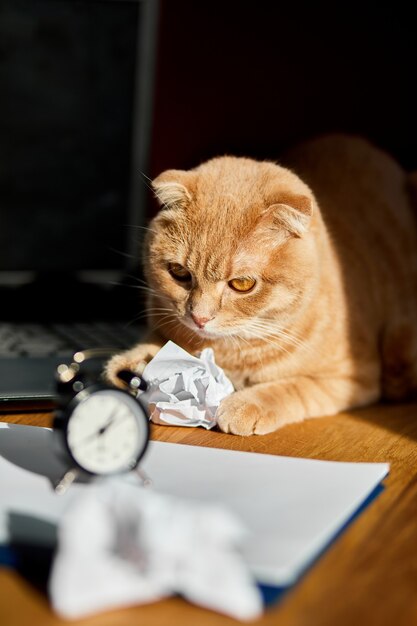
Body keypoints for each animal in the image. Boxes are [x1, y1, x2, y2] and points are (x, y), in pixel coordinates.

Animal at [105, 134, 416, 432]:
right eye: (179, 272)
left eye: (242, 284)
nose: (199, 318)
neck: (230, 351)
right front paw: (133, 365)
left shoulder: (352, 378)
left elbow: (294, 388)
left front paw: (245, 405)